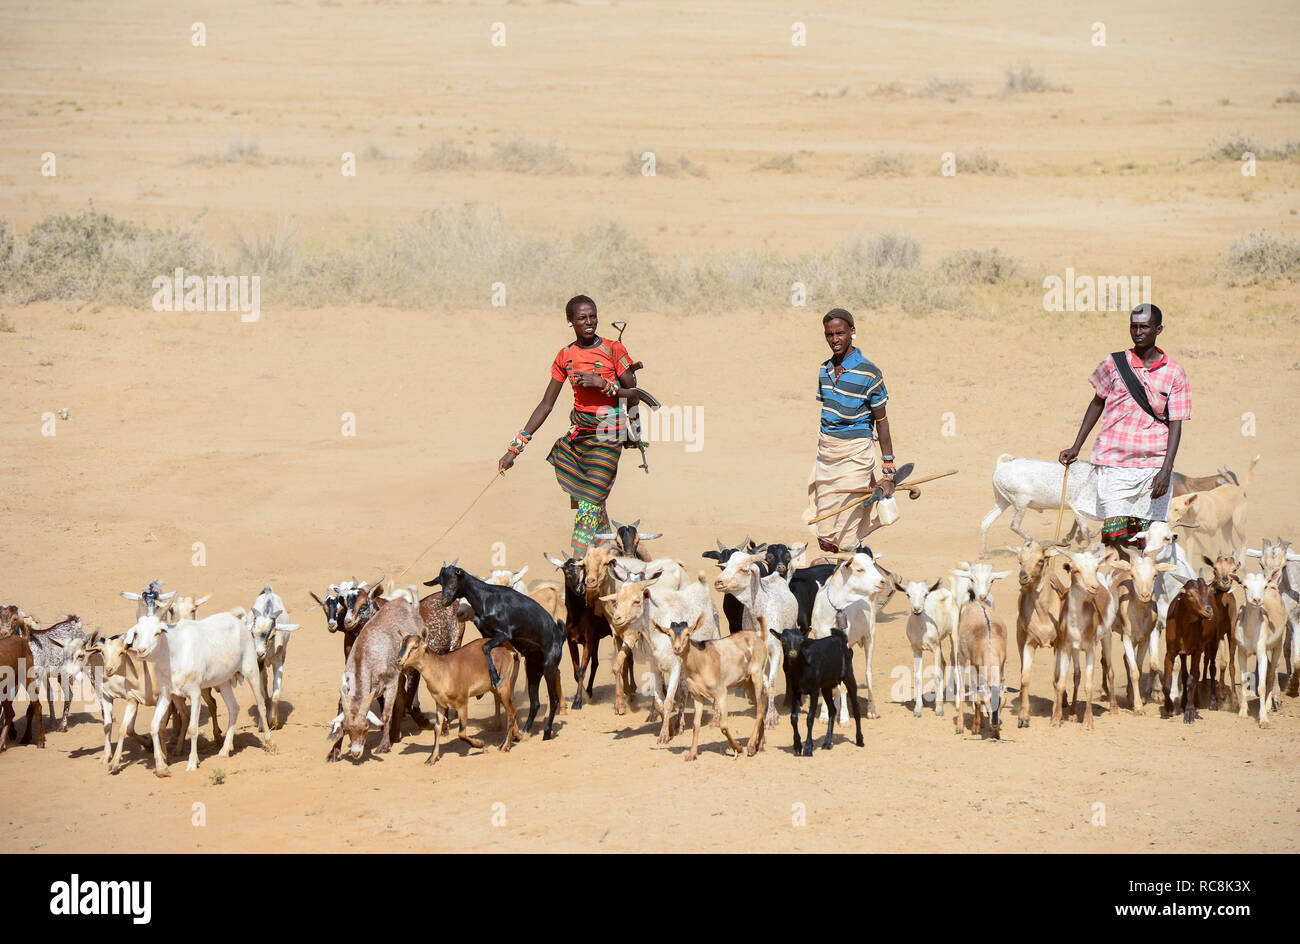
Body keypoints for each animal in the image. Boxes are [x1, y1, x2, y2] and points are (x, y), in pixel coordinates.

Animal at [431, 561, 564, 738]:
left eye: (454, 580)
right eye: (440, 581)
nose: (445, 601)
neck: (488, 599)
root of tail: (559, 634)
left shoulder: (505, 638)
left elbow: (486, 649)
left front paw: (494, 679)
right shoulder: (494, 639)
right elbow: (485, 650)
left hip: (549, 666)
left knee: (553, 697)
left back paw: (547, 731)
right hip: (533, 668)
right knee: (535, 702)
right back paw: (525, 730)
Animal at [769, 629, 863, 759]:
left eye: (801, 640)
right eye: (783, 640)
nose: (793, 654)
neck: (801, 669)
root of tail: (841, 639)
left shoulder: (814, 690)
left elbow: (810, 718)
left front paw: (808, 748)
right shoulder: (795, 691)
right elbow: (793, 718)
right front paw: (797, 746)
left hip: (848, 674)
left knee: (856, 707)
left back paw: (859, 740)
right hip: (826, 686)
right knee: (832, 710)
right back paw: (827, 743)